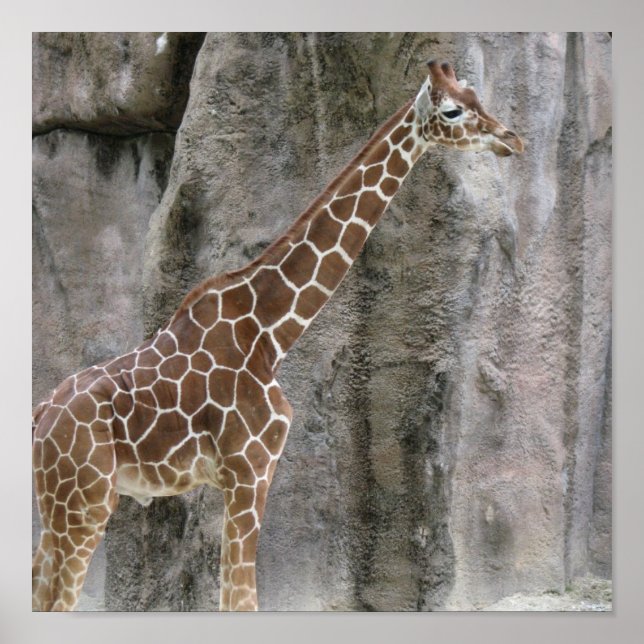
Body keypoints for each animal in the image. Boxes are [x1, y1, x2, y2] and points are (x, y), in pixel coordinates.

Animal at [32, 59, 523, 612]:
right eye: (453, 110)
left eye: (477, 96)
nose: (513, 139)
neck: (271, 331)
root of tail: (39, 419)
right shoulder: (250, 469)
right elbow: (241, 598)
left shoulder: (239, 477)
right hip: (84, 503)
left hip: (59, 507)